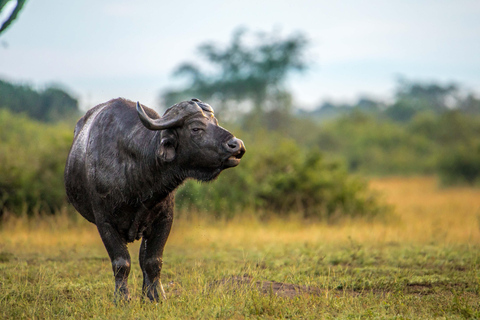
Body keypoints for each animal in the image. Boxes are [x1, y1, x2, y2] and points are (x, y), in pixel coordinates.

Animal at [63, 96, 246, 302]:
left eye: (215, 122)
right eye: (196, 128)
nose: (237, 145)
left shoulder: (164, 219)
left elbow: (152, 261)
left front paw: (156, 296)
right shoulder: (104, 222)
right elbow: (121, 262)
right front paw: (122, 298)